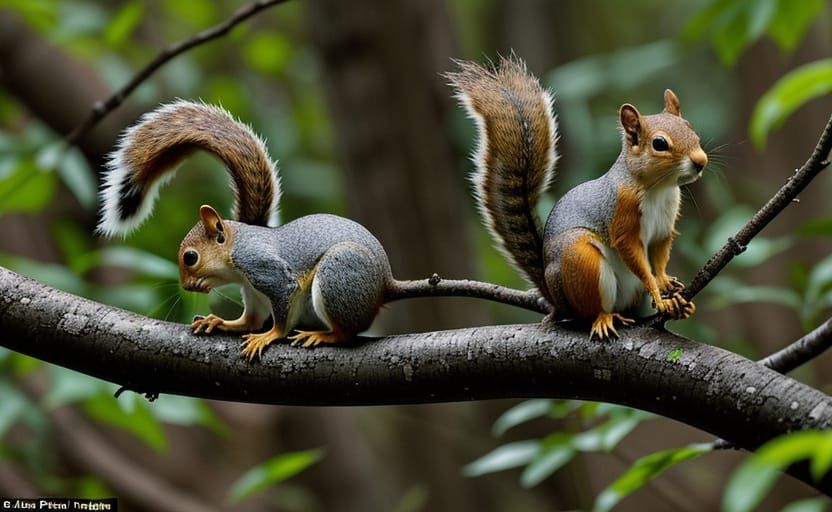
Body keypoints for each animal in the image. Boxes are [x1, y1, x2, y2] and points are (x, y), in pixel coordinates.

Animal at [98, 100, 540, 360]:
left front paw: (268, 337)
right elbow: (249, 319)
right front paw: (219, 323)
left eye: (190, 258)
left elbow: (277, 314)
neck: (238, 250)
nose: (186, 287)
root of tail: (384, 285)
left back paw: (325, 336)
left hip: (337, 276)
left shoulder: (266, 272)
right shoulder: (251, 291)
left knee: (348, 331)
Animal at [447, 56, 708, 339]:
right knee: (590, 310)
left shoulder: (663, 228)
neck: (658, 189)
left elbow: (658, 258)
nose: (701, 161)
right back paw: (604, 318)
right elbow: (634, 256)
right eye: (659, 144)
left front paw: (665, 285)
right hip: (579, 259)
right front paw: (659, 297)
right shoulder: (622, 215)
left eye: (692, 130)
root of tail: (556, 301)